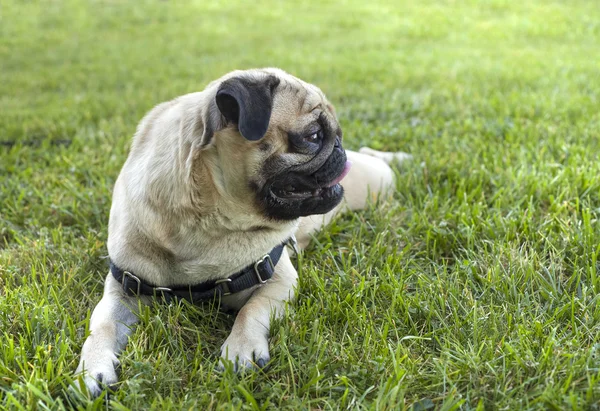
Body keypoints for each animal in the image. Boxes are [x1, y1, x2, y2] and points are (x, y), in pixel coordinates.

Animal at [74, 67, 412, 396]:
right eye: (314, 136)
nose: (339, 146)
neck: (205, 223)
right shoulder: (122, 290)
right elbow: (101, 326)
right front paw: (91, 369)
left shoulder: (278, 279)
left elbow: (251, 310)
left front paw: (240, 350)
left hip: (378, 183)